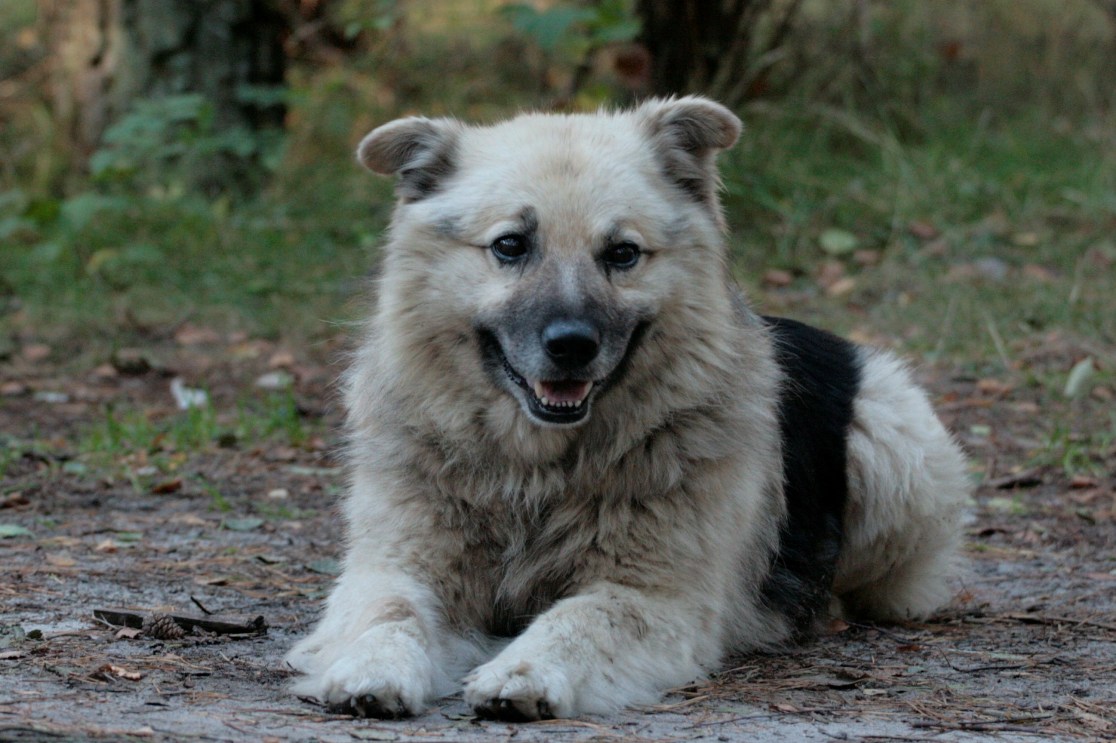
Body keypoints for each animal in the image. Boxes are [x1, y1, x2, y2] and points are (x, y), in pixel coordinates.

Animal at [285, 95, 968, 718]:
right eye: (510, 245)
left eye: (621, 254)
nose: (571, 346)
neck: (536, 471)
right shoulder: (397, 566)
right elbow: (389, 611)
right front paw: (372, 668)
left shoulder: (654, 597)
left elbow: (583, 617)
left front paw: (524, 672)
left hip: (892, 444)